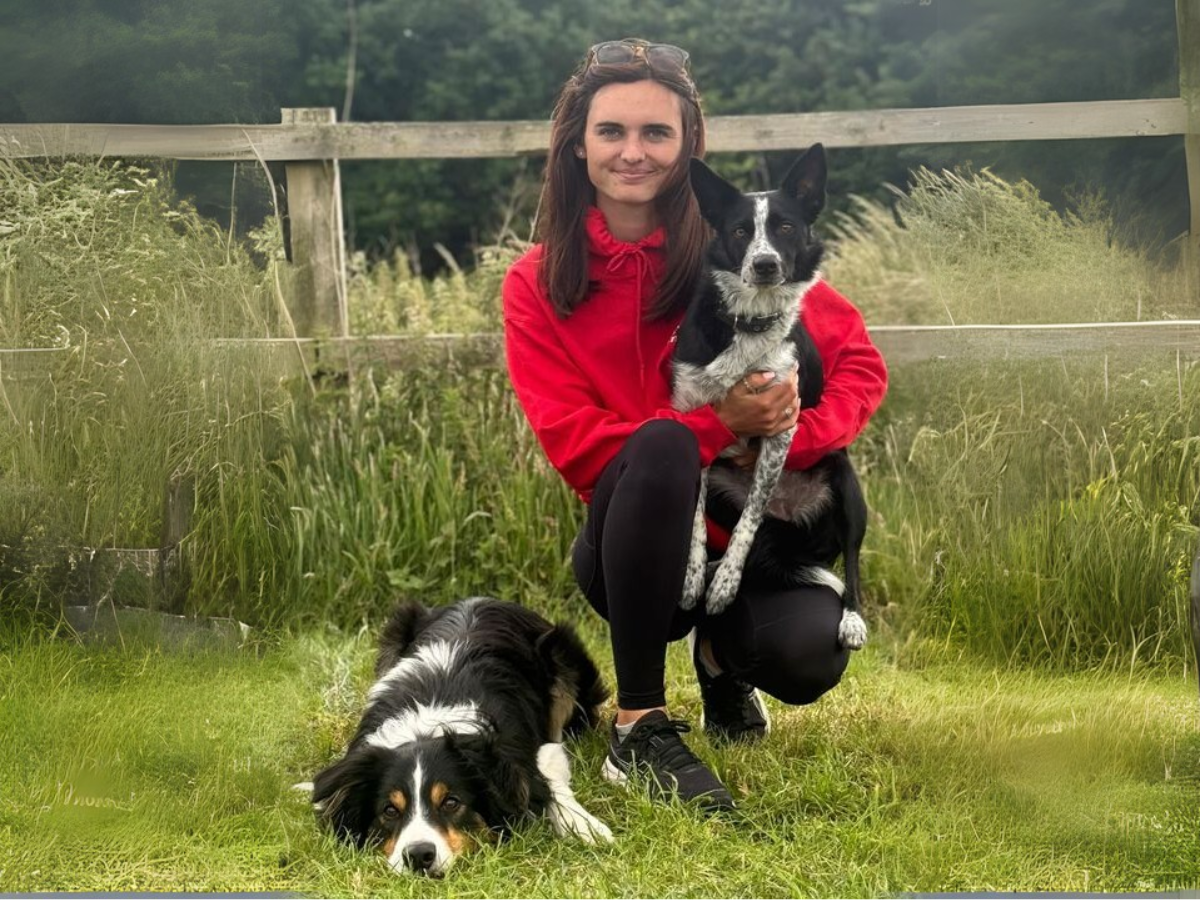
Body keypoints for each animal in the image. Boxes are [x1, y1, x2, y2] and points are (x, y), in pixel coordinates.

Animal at [307, 597, 613, 877]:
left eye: (451, 802)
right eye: (389, 811)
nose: (419, 855)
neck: (427, 726)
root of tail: (482, 597)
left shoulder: (538, 751)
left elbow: (550, 785)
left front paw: (586, 827)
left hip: (563, 654)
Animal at [670, 144, 868, 650]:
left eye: (785, 228)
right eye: (741, 230)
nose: (764, 265)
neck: (750, 322)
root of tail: (792, 517)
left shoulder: (781, 427)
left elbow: (749, 519)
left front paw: (723, 586)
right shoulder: (692, 421)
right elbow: (694, 520)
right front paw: (692, 576)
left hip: (847, 484)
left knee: (851, 562)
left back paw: (853, 619)